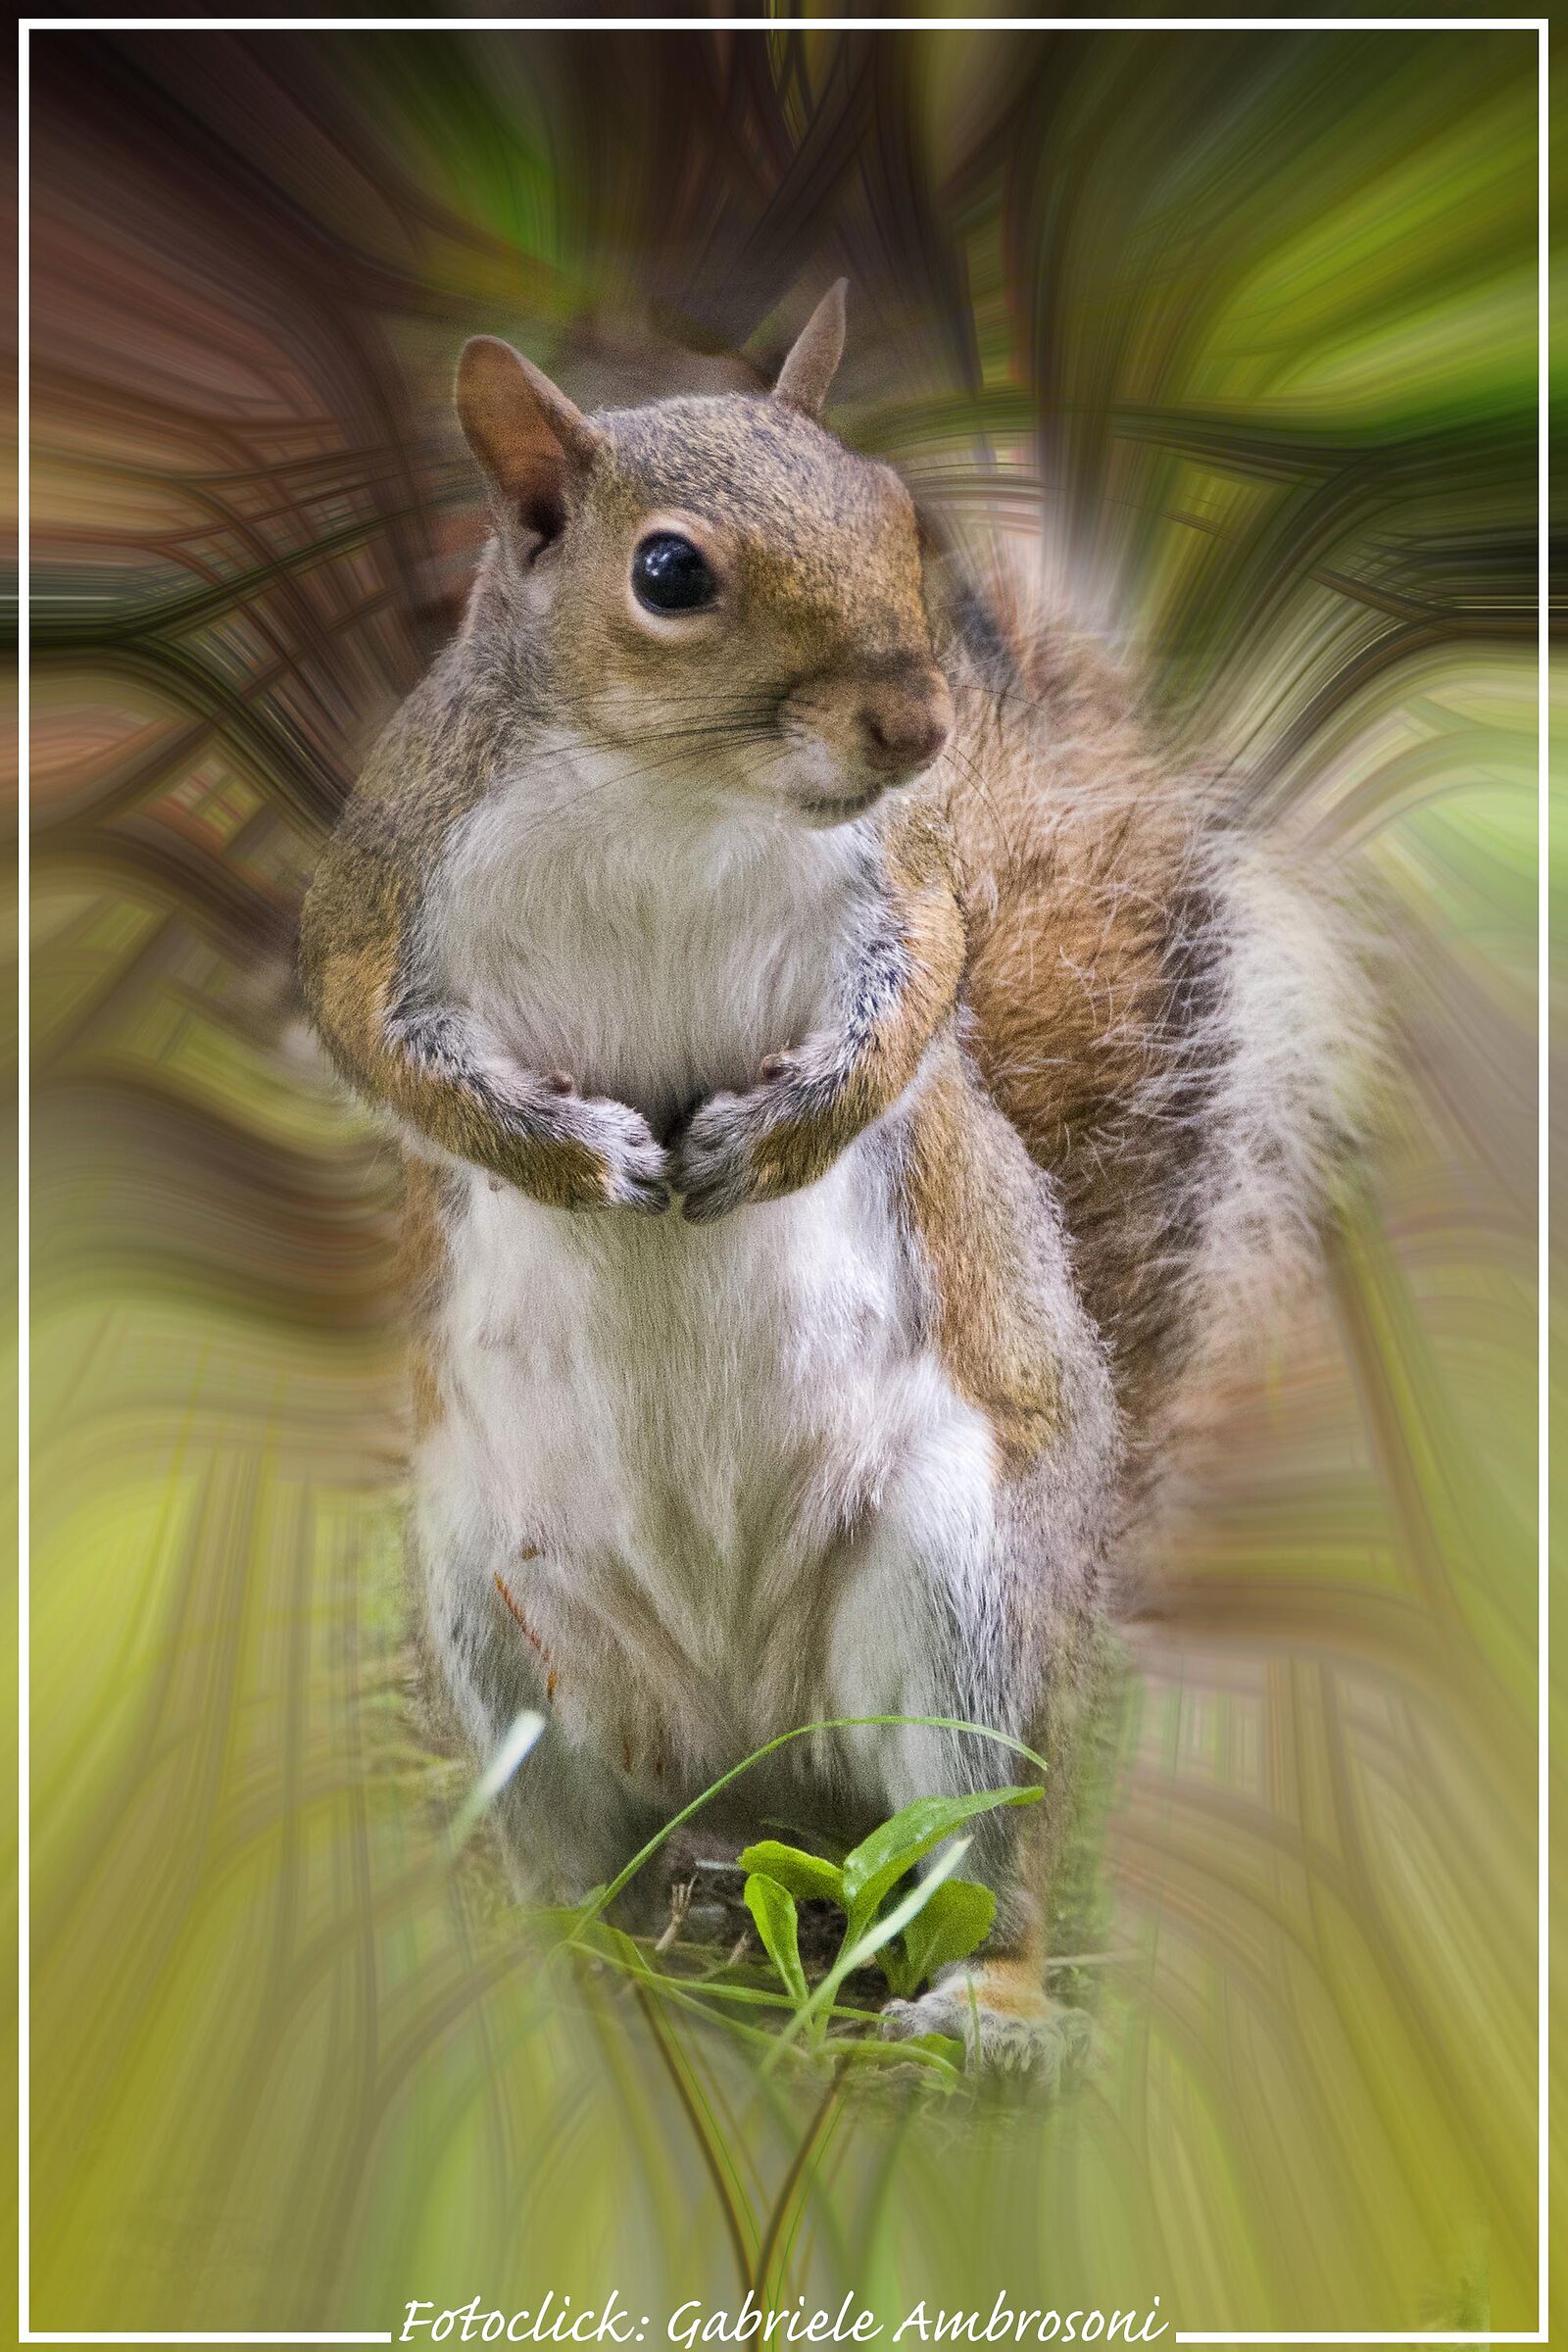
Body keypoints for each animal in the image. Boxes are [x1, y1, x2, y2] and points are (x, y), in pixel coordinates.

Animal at [299, 283, 1364, 2076]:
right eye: (670, 573)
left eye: (889, 506)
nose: (918, 726)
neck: (671, 795)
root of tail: (756, 1768)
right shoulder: (385, 883)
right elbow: (380, 1044)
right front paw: (571, 1154)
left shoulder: (906, 885)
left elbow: (916, 1002)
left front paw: (773, 1138)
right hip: (500, 1621)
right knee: (590, 1858)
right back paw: (572, 1949)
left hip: (961, 1613)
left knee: (977, 1866)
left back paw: (994, 2006)